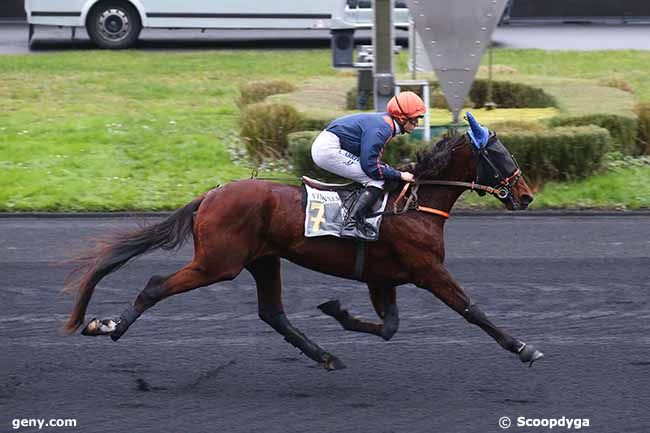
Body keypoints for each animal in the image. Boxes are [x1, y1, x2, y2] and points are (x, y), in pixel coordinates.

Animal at [64, 126, 540, 370]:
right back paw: (108, 326)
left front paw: (337, 311)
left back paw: (325, 355)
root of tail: (211, 195)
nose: (526, 196)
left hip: (263, 260)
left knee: (272, 313)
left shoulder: (382, 278)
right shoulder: (427, 271)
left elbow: (388, 326)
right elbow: (471, 309)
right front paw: (522, 347)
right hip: (218, 263)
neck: (414, 204)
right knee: (156, 284)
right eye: (500, 154)